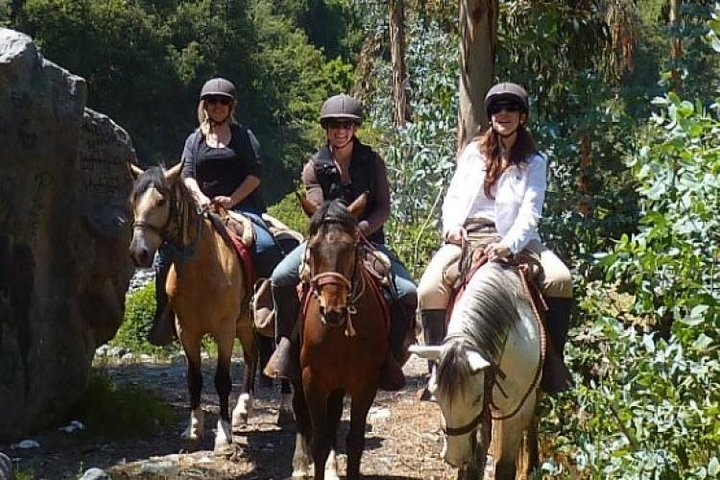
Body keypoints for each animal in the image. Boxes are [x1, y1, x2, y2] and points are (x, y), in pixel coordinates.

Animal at [127, 162, 258, 454]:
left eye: (161, 201)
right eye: (133, 201)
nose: (138, 253)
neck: (204, 269)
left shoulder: (224, 331)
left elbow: (221, 380)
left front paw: (223, 435)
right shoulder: (186, 331)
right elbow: (194, 379)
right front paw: (194, 428)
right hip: (243, 324)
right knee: (252, 357)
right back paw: (242, 411)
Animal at [289, 194, 390, 480]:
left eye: (351, 247)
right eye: (313, 248)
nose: (332, 311)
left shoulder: (365, 384)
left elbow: (354, 441)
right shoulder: (312, 380)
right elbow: (319, 443)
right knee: (300, 412)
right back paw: (300, 465)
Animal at [411, 261, 543, 480]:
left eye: (476, 398)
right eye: (437, 398)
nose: (455, 457)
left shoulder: (516, 409)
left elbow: (504, 467)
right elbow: (474, 462)